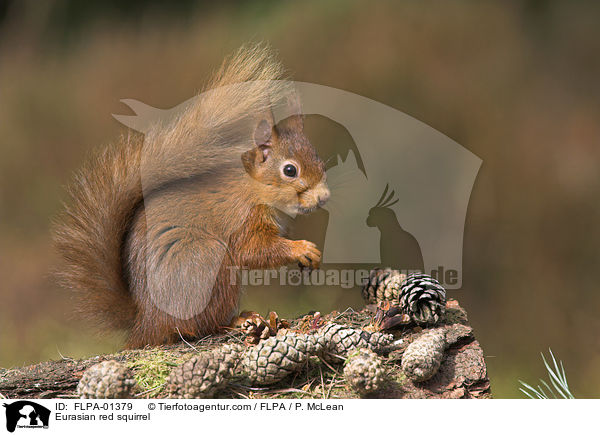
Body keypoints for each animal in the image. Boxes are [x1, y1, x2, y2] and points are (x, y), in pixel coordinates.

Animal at [54, 46, 330, 350]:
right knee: (202, 325)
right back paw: (239, 320)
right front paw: (302, 248)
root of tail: (146, 324)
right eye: (290, 170)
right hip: (208, 262)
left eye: (319, 160)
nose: (324, 197)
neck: (254, 187)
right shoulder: (242, 217)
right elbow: (253, 250)